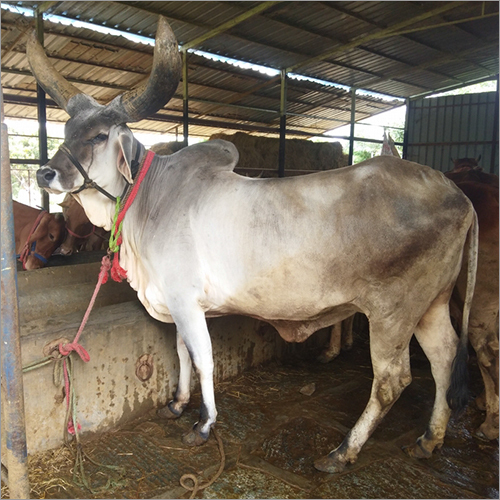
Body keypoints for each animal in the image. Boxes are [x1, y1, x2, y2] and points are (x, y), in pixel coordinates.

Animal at [26, 14, 476, 472]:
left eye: (100, 136)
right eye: (67, 129)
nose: (46, 173)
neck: (150, 199)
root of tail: (457, 194)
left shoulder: (186, 301)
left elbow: (203, 359)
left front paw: (204, 423)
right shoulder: (175, 303)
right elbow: (181, 352)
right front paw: (178, 404)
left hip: (392, 313)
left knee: (392, 380)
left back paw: (343, 450)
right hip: (432, 305)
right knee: (444, 359)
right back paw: (429, 439)